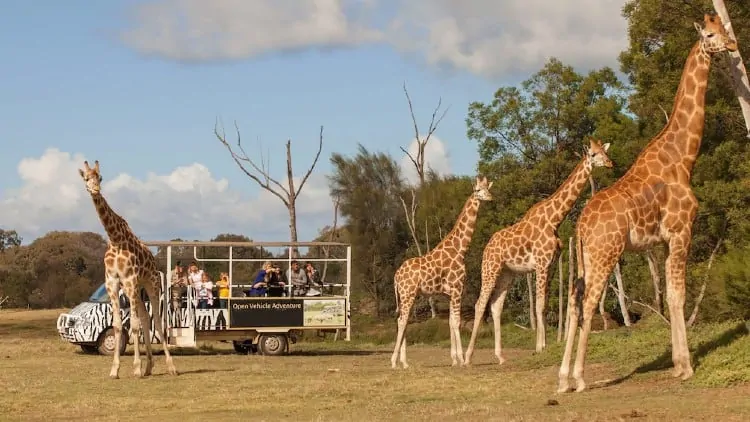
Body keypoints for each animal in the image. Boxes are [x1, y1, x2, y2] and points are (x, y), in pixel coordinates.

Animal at [78, 160, 179, 378]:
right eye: (86, 178)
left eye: (100, 177)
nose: (95, 190)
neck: (115, 239)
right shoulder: (113, 282)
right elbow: (118, 325)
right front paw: (115, 370)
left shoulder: (130, 279)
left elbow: (133, 325)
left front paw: (136, 368)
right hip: (137, 289)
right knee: (145, 317)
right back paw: (149, 367)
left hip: (150, 284)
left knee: (157, 321)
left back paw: (170, 367)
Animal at [390, 176, 496, 368]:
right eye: (478, 190)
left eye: (488, 189)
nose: (490, 198)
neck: (460, 249)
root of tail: (396, 276)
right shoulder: (457, 288)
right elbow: (457, 322)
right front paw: (461, 359)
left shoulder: (449, 293)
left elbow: (451, 322)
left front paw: (454, 359)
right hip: (407, 294)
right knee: (401, 321)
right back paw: (395, 362)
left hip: (408, 296)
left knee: (403, 320)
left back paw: (404, 362)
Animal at [464, 139, 616, 366]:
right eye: (593, 154)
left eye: (605, 152)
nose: (609, 163)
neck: (554, 219)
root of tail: (486, 248)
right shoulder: (541, 264)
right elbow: (539, 304)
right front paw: (539, 347)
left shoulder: (551, 265)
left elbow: (543, 305)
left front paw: (543, 344)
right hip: (490, 269)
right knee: (480, 304)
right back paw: (467, 357)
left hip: (507, 273)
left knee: (496, 306)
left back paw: (500, 356)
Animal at [560, 14, 740, 396]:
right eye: (710, 34)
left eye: (722, 28)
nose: (733, 45)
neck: (683, 157)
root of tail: (581, 224)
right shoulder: (681, 231)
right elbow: (678, 296)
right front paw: (685, 367)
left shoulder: (662, 241)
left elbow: (670, 295)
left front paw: (677, 364)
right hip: (606, 254)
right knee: (589, 302)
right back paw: (580, 379)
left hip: (585, 258)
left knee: (574, 301)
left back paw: (563, 378)